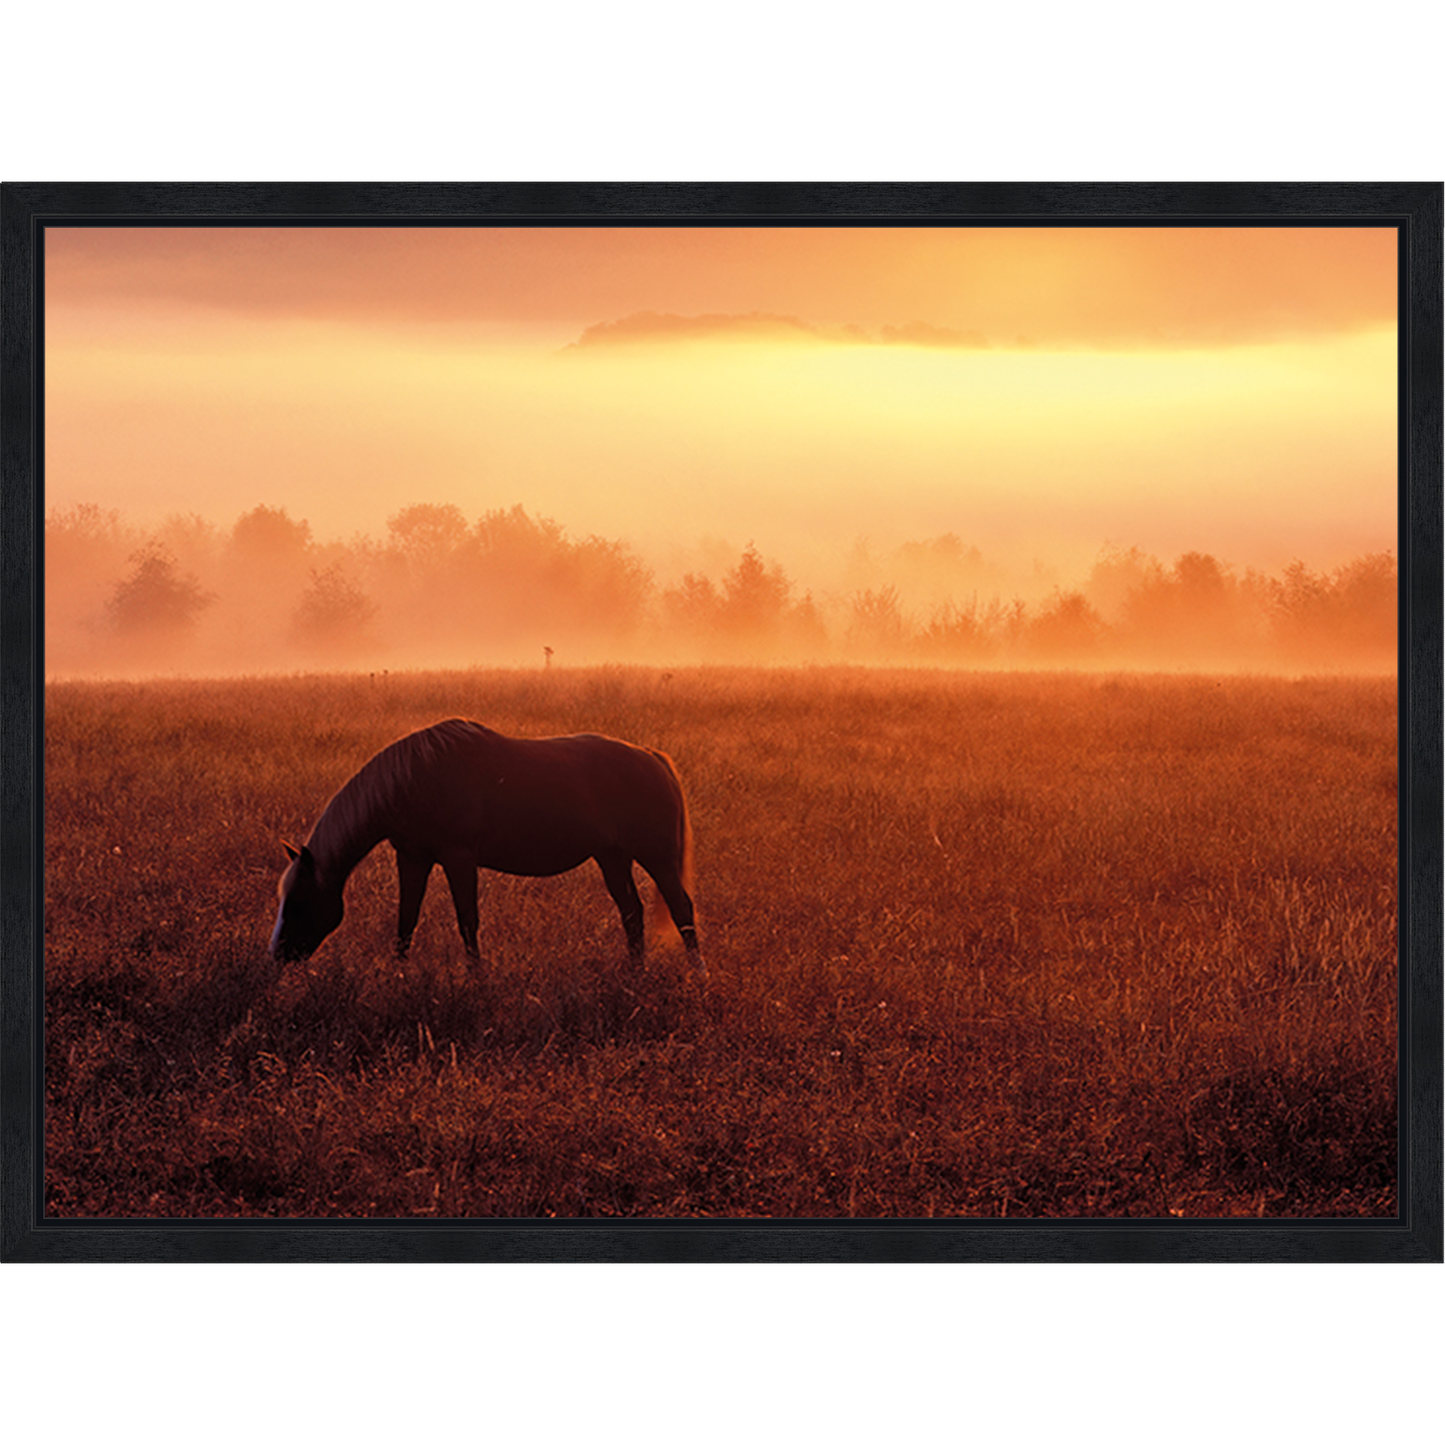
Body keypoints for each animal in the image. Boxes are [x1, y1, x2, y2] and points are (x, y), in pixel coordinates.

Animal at [271, 716, 705, 976]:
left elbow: (467, 920)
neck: (413, 780)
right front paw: (398, 974)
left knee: (681, 908)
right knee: (631, 911)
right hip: (612, 857)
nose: (278, 955)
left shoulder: (458, 859)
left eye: (300, 902)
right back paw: (635, 972)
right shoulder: (412, 858)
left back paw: (697, 974)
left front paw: (476, 978)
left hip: (656, 858)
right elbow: (406, 920)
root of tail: (653, 758)